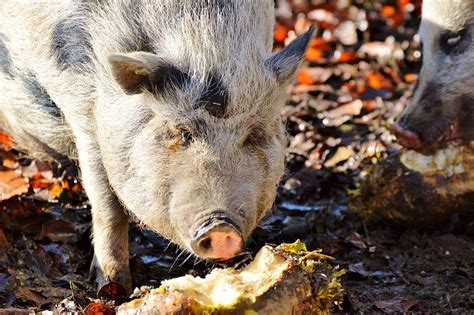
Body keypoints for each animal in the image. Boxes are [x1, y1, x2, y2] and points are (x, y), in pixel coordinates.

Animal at [0, 0, 314, 292]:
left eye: (254, 134)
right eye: (182, 131)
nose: (220, 226)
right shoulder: (83, 114)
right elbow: (106, 204)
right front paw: (113, 286)